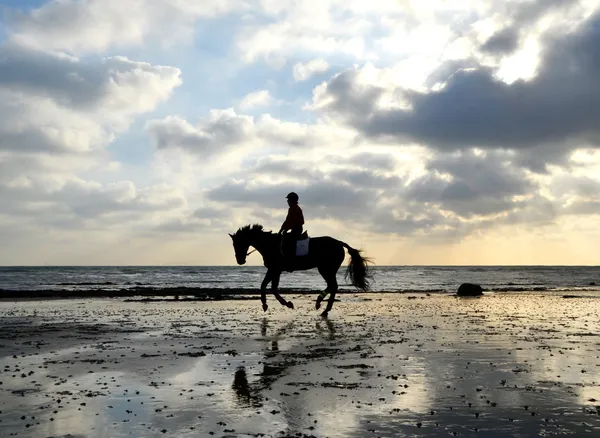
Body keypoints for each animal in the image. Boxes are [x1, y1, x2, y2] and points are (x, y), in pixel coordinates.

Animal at [229, 224, 372, 316]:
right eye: (233, 244)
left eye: (238, 243)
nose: (240, 261)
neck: (269, 244)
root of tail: (339, 242)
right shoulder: (275, 270)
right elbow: (268, 286)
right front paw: (273, 304)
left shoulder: (274, 269)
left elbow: (269, 287)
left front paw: (281, 304)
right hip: (327, 269)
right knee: (332, 286)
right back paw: (320, 305)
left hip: (326, 269)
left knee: (333, 286)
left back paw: (324, 308)